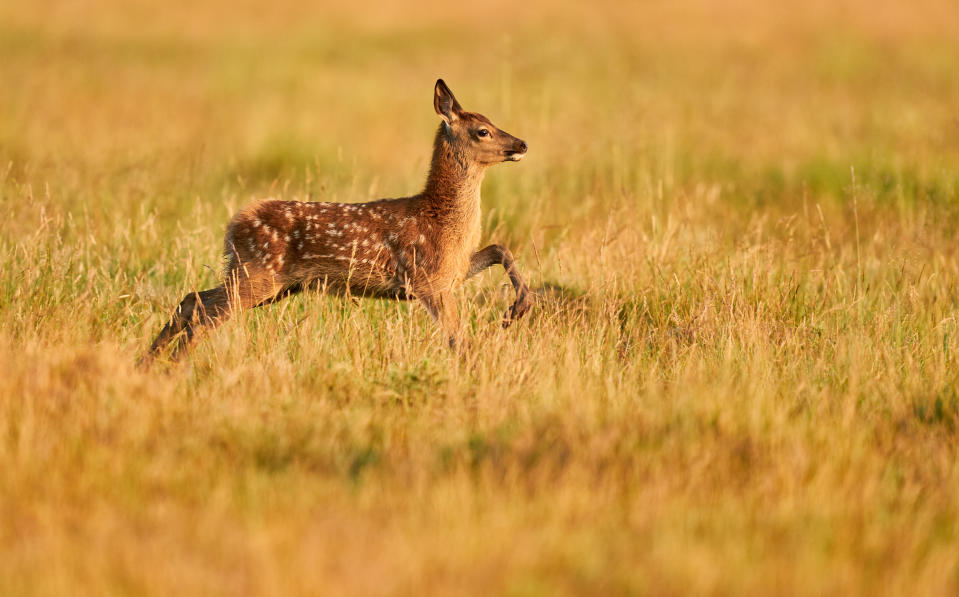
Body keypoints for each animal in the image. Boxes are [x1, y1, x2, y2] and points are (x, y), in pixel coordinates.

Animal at [142, 78, 532, 368]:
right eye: (482, 131)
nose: (522, 143)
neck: (443, 220)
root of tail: (234, 224)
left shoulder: (454, 270)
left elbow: (500, 248)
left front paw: (519, 307)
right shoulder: (428, 279)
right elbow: (457, 339)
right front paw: (477, 372)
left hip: (264, 280)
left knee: (192, 300)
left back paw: (148, 363)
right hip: (257, 273)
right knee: (204, 314)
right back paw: (171, 366)